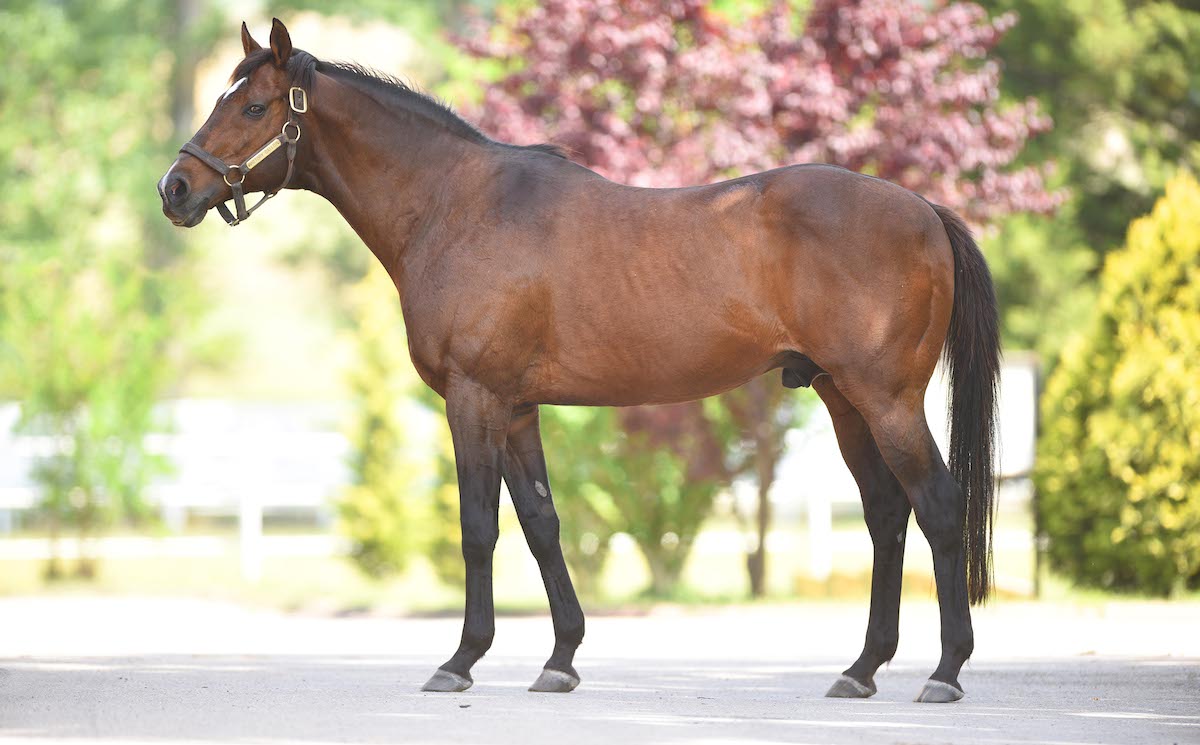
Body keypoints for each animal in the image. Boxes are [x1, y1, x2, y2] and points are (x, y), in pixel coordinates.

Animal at [162, 18, 1003, 705]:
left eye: (253, 107)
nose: (176, 187)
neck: (456, 206)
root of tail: (924, 209)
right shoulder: (514, 406)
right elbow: (541, 522)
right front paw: (560, 658)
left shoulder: (472, 398)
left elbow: (477, 526)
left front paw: (461, 659)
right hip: (842, 398)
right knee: (887, 513)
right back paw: (861, 668)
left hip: (886, 399)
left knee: (935, 505)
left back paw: (945, 670)